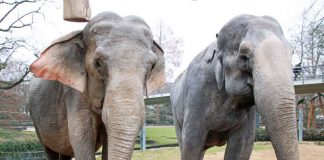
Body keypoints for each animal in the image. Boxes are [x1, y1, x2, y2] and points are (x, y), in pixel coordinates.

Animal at [26, 11, 165, 160]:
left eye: (152, 67)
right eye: (98, 63)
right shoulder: (74, 93)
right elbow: (82, 138)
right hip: (36, 121)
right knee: (49, 149)